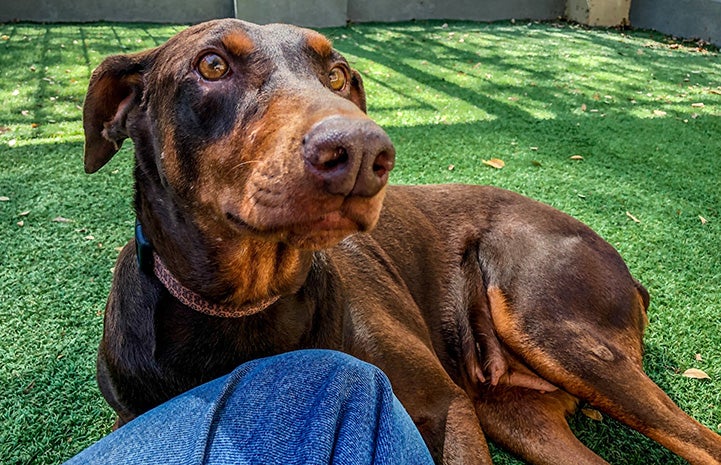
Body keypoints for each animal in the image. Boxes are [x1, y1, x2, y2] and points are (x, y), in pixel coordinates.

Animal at [84, 18, 720, 464]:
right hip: (513, 409)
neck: (243, 306)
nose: (364, 151)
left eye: (337, 74)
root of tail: (629, 274)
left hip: (552, 326)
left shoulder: (446, 406)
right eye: (211, 64)